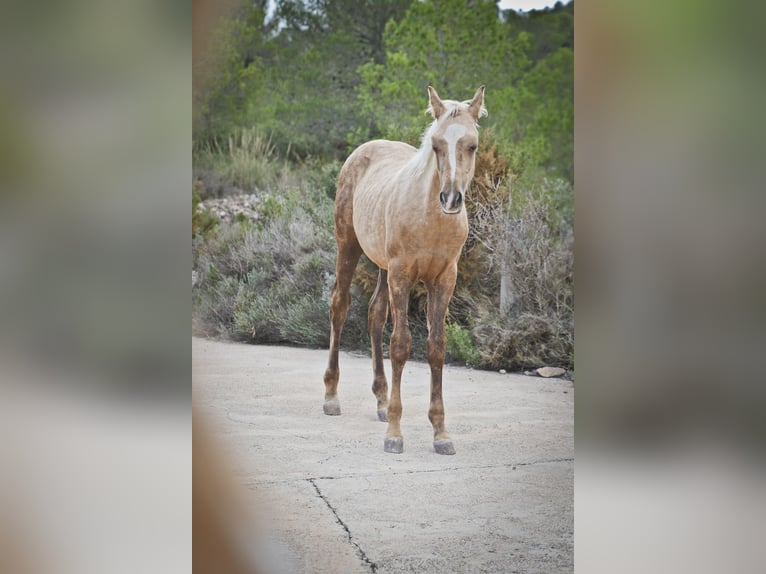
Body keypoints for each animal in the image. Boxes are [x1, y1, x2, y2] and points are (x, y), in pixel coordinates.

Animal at [322, 85, 488, 456]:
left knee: (374, 314)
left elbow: (436, 346)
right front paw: (395, 434)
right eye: (436, 144)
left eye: (472, 145)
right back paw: (331, 397)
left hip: (383, 268)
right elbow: (400, 344)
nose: (450, 199)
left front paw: (441, 433)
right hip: (349, 246)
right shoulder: (402, 276)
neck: (430, 219)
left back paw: (382, 401)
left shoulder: (444, 280)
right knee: (340, 307)